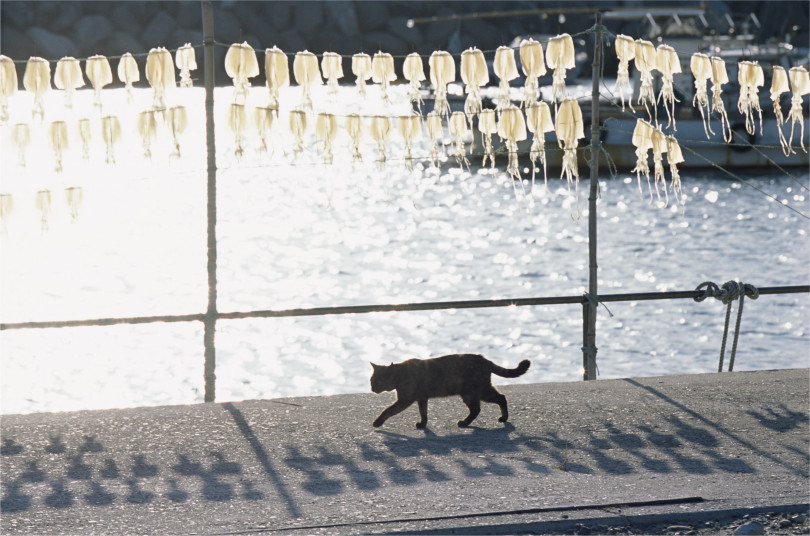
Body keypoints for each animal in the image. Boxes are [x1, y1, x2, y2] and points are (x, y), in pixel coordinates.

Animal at [368, 354, 532, 430]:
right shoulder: (422, 398)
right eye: (371, 380)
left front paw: (377, 422)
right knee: (481, 407)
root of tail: (484, 359)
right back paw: (468, 422)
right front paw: (423, 424)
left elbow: (387, 410)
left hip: (476, 392)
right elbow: (423, 412)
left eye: (377, 381)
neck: (400, 373)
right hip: (473, 393)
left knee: (498, 399)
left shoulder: (405, 399)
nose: (371, 388)